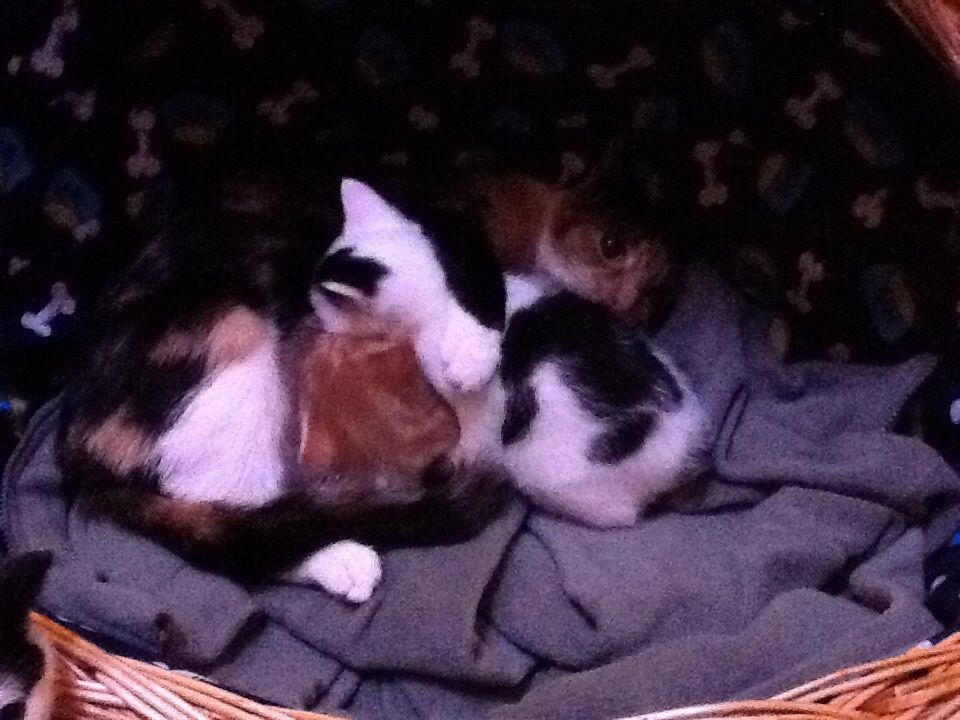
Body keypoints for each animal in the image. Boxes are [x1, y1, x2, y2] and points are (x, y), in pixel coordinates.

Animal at [313, 182, 706, 528]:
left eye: (321, 302)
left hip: (544, 471)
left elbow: (473, 438)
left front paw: (461, 462)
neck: (443, 298)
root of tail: (683, 461)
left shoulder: (476, 409)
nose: (313, 312)